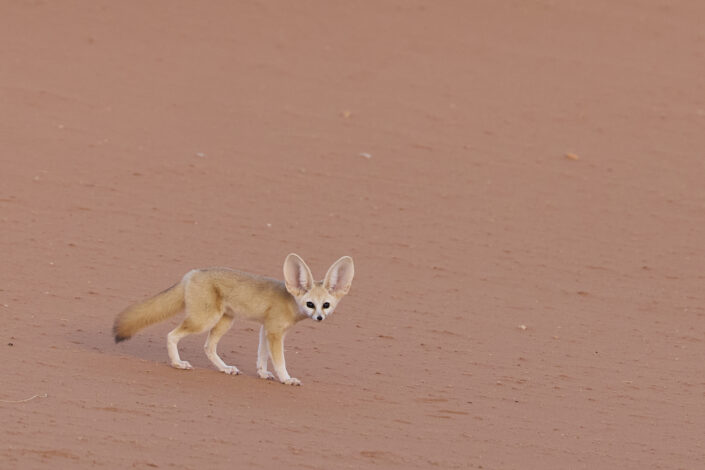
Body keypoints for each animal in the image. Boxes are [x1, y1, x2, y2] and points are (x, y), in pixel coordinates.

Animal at [113, 253, 354, 386]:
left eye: (326, 305)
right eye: (310, 304)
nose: (320, 317)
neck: (290, 301)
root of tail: (192, 272)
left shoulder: (266, 329)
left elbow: (262, 356)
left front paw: (263, 373)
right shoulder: (275, 332)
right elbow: (279, 361)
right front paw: (286, 379)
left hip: (225, 321)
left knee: (208, 347)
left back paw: (225, 368)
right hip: (205, 320)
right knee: (171, 335)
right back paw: (178, 363)